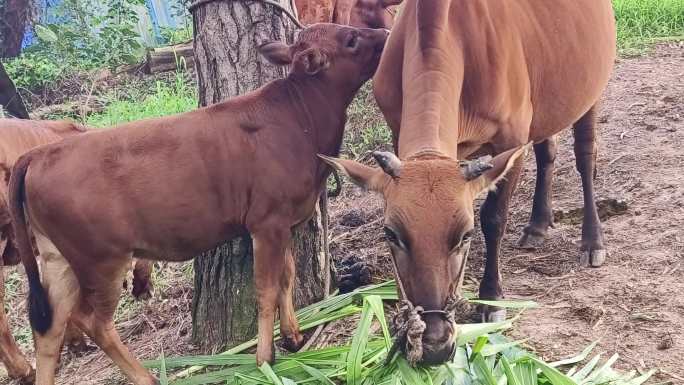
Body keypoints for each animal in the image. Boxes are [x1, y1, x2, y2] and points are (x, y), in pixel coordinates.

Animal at [324, 0, 616, 364]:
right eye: (391, 234)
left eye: (465, 235)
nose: (434, 344)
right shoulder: (397, 131)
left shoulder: (510, 139)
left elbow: (494, 218)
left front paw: (492, 299)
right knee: (547, 149)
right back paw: (537, 225)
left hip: (590, 89)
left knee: (585, 155)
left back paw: (592, 241)